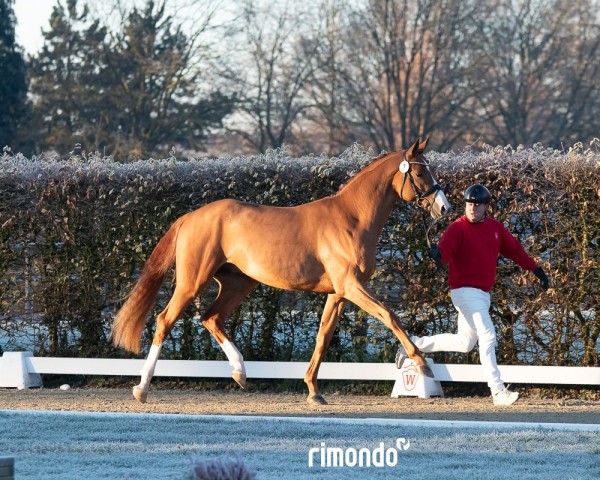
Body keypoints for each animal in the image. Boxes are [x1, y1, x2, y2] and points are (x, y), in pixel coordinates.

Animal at [112, 139, 450, 404]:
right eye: (420, 172)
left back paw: (240, 373)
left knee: (211, 318)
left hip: (238, 283)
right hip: (192, 282)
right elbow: (390, 316)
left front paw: (313, 390)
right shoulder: (352, 287)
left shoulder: (338, 294)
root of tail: (191, 216)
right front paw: (422, 365)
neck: (351, 219)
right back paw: (142, 388)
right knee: (164, 321)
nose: (443, 208)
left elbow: (323, 336)